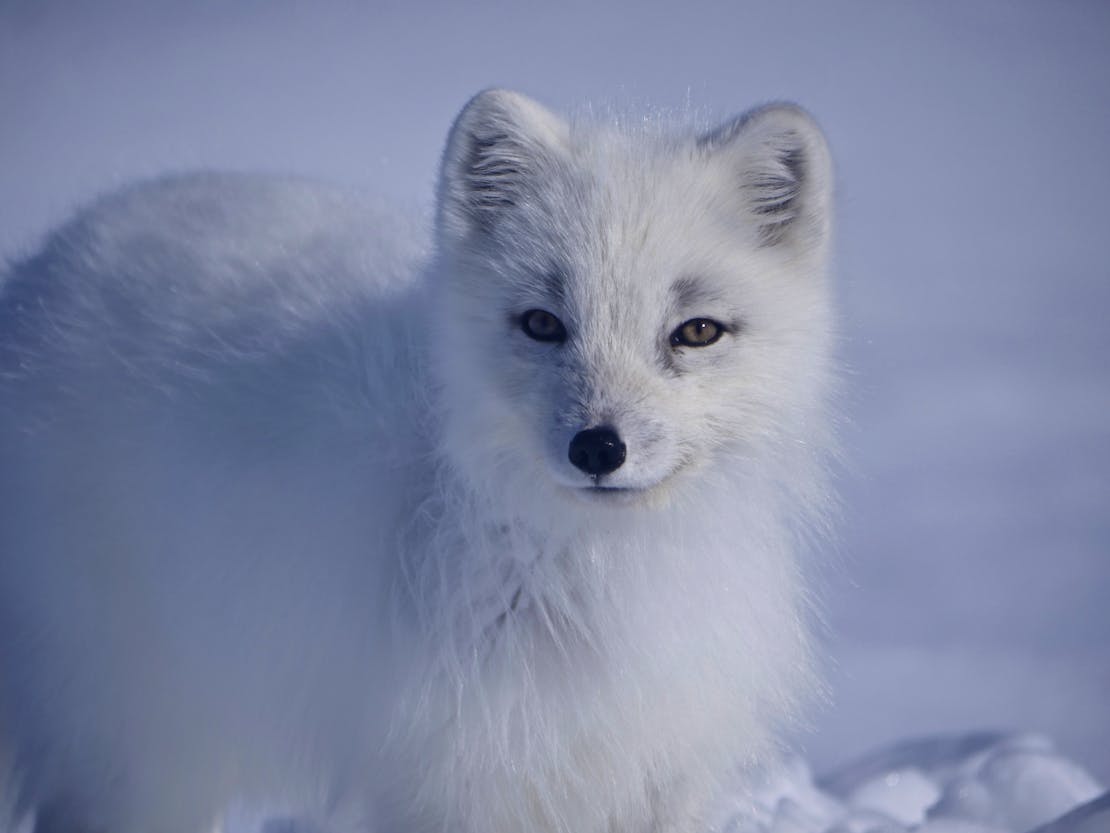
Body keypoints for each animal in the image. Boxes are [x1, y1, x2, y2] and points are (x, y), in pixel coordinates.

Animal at [0, 90, 835, 833]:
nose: (598, 446)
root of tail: (45, 266)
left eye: (696, 331)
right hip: (130, 745)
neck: (595, 573)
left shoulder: (658, 773)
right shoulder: (456, 782)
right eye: (542, 323)